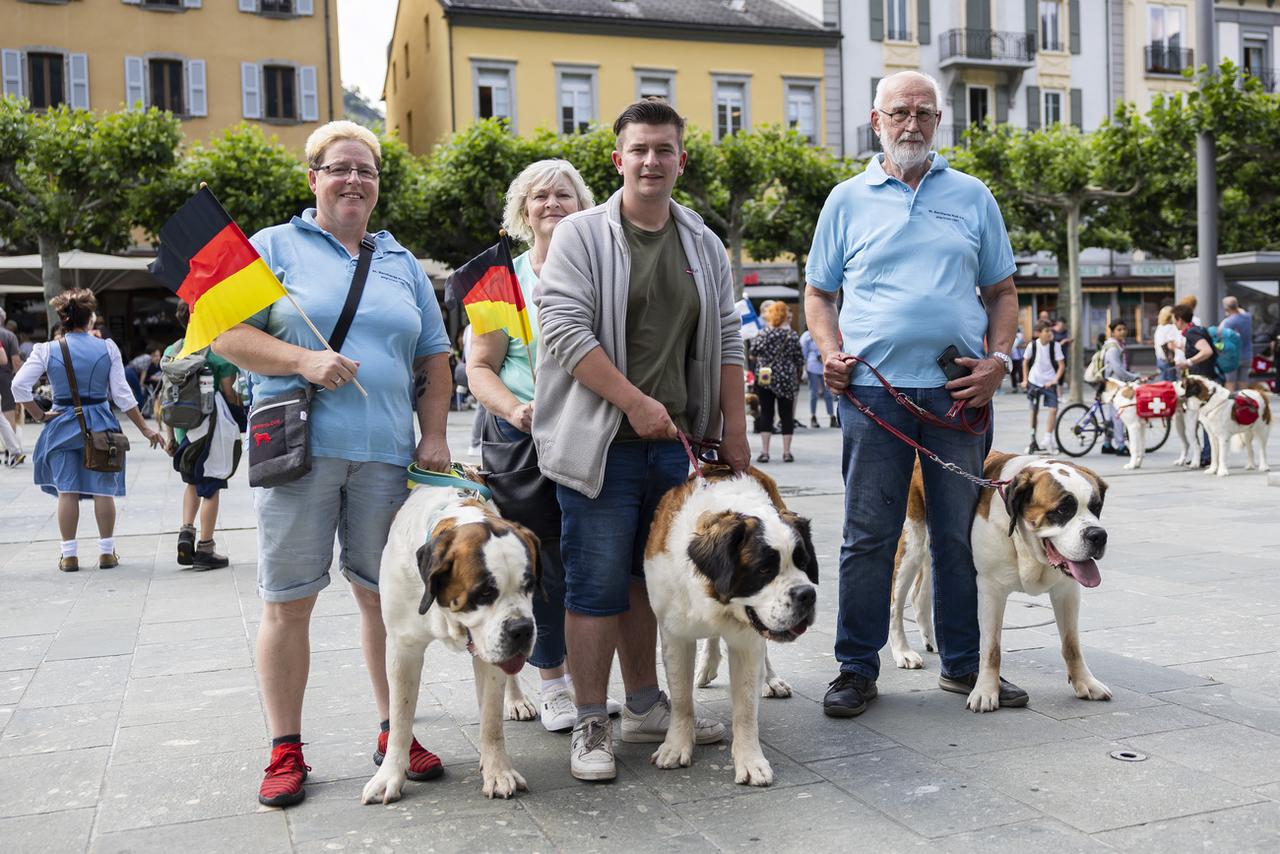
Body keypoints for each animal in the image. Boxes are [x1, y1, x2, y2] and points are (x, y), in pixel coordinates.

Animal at [360, 481, 540, 809]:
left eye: (530, 585)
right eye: (484, 592)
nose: (521, 629)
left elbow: (491, 721)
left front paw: (498, 772)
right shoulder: (402, 647)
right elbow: (400, 720)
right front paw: (389, 776)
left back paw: (516, 700)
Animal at [645, 468, 814, 788]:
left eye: (804, 563)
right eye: (764, 569)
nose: (806, 594)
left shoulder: (747, 640)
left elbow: (746, 708)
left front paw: (750, 761)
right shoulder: (674, 633)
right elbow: (681, 698)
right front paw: (676, 746)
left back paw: (771, 680)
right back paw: (706, 666)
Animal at [890, 453, 1111, 717]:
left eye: (1096, 507)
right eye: (1062, 510)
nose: (1098, 535)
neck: (1025, 543)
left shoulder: (1066, 591)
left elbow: (1072, 644)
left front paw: (1085, 682)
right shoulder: (991, 590)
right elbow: (991, 648)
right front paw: (986, 691)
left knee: (919, 593)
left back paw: (932, 640)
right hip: (912, 543)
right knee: (895, 603)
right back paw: (902, 651)